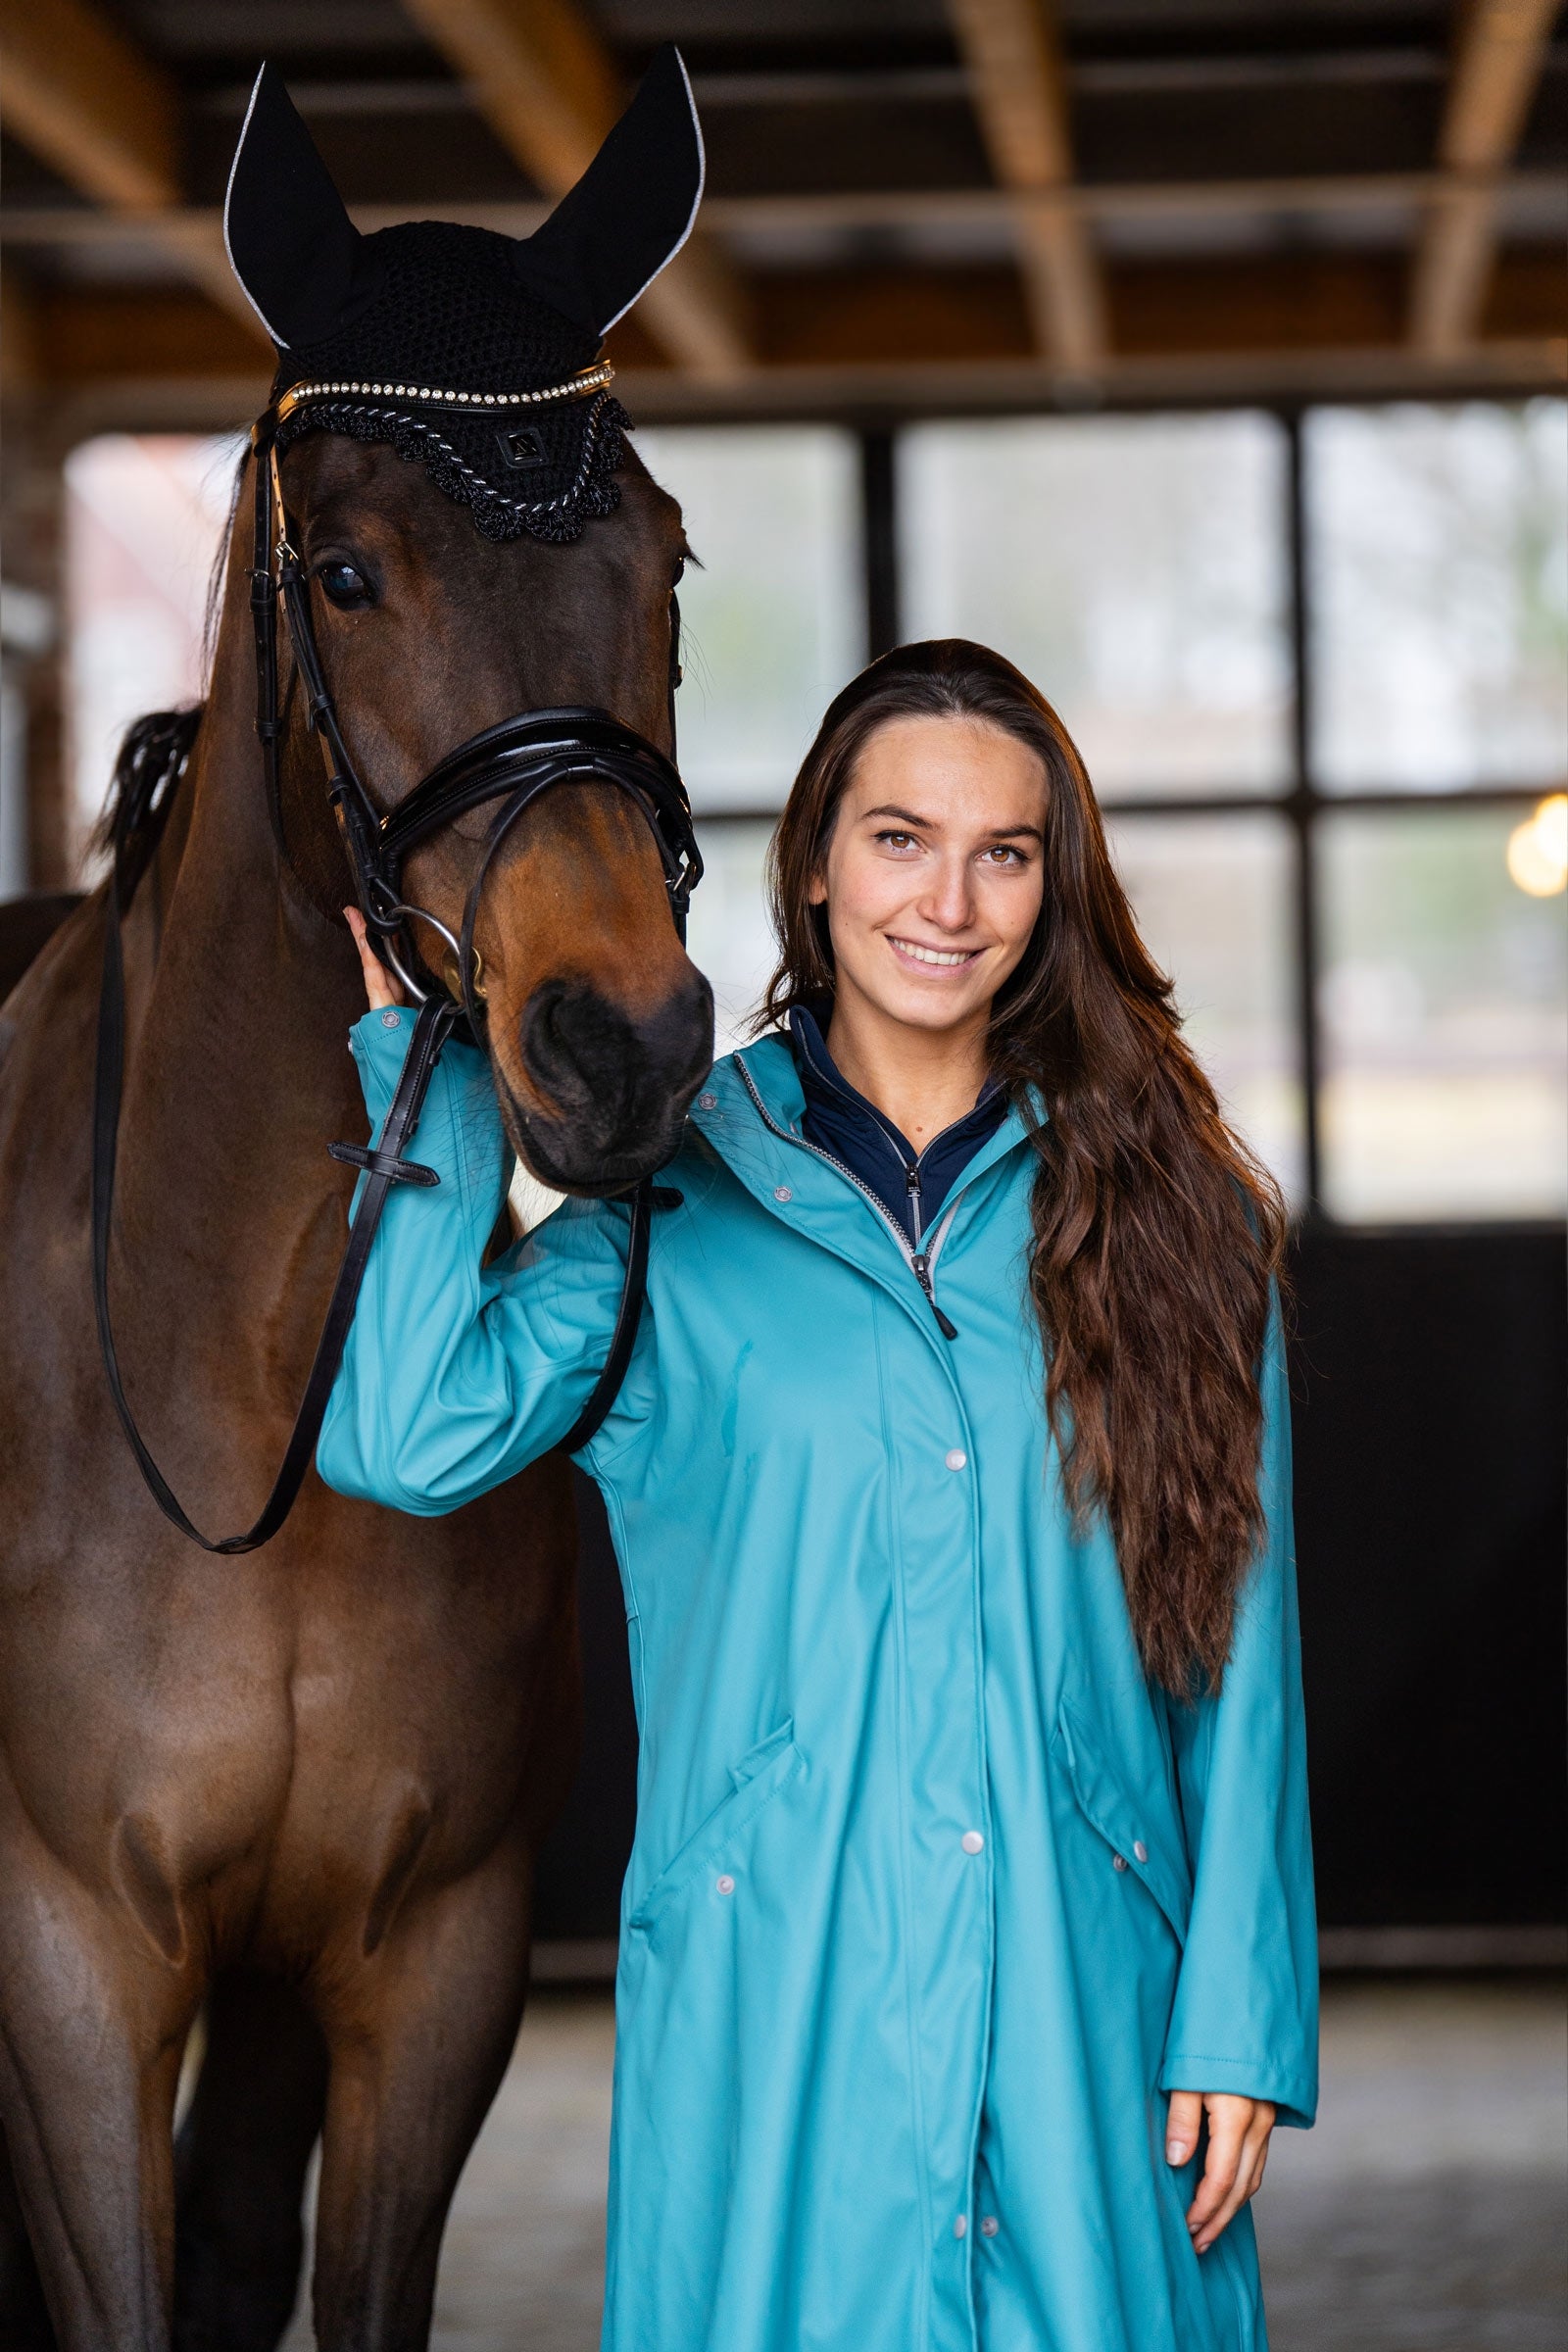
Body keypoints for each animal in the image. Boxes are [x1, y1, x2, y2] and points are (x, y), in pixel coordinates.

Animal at [0, 405, 711, 2347]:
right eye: (342, 574)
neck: (251, 1376)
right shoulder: (68, 1961)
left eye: (667, 560)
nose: (623, 1045)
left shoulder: (421, 1967)